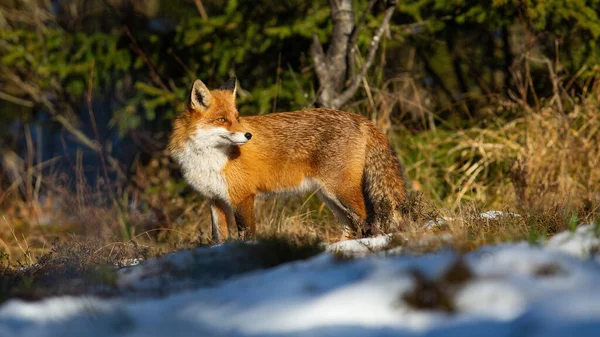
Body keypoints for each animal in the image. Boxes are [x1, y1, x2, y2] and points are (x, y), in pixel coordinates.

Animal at [166, 78, 406, 242]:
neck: (208, 158)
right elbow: (218, 239)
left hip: (341, 191)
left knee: (367, 219)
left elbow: (247, 235)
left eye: (237, 117)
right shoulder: (215, 200)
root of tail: (359, 118)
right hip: (329, 196)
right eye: (222, 119)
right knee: (351, 225)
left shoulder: (242, 197)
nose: (248, 135)